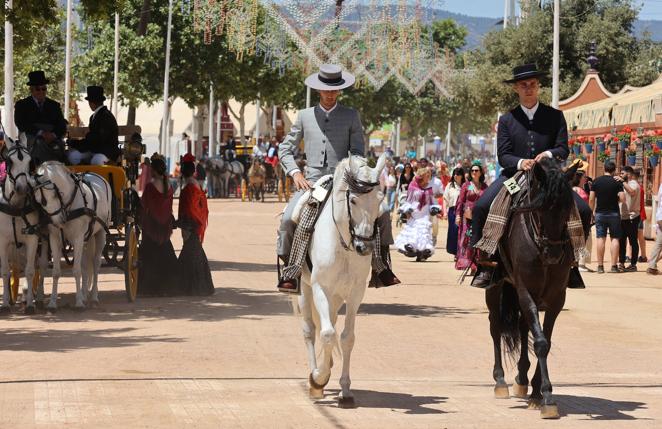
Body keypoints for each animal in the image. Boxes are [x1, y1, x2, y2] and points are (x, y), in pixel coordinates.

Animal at [0, 132, 48, 312]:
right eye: (10, 161)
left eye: (30, 161)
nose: (23, 188)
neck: (16, 207)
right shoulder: (3, 241)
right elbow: (5, 271)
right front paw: (6, 303)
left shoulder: (32, 239)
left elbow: (29, 271)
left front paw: (29, 304)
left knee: (40, 265)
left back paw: (37, 296)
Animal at [32, 160, 111, 310]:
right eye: (39, 202)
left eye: (55, 194)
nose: (60, 221)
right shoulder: (54, 238)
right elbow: (56, 272)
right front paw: (52, 303)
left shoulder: (78, 238)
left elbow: (76, 270)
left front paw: (79, 303)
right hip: (87, 238)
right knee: (85, 264)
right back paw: (85, 294)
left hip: (100, 233)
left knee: (95, 264)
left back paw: (93, 297)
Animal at [294, 152, 390, 406]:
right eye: (353, 200)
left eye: (380, 199)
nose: (364, 247)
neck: (344, 244)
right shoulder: (320, 288)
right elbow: (327, 334)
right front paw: (318, 378)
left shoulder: (355, 293)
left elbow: (346, 337)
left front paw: (345, 390)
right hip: (305, 290)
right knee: (310, 330)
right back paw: (316, 378)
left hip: (336, 297)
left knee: (330, 324)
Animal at [488, 157, 580, 418]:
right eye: (540, 208)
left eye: (567, 209)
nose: (554, 254)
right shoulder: (525, 289)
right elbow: (540, 342)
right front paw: (547, 397)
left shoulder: (556, 297)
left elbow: (544, 339)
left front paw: (539, 393)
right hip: (496, 285)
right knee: (496, 327)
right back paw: (500, 381)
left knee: (522, 325)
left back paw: (521, 379)